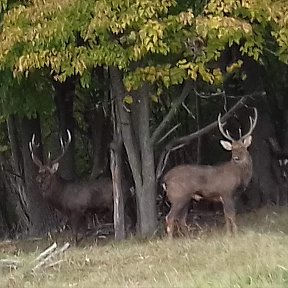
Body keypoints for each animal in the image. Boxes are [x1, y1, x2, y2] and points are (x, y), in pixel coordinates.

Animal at [162, 107, 258, 238]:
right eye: (232, 149)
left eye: (242, 148)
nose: (236, 158)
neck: (239, 176)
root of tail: (165, 179)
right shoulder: (226, 191)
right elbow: (231, 215)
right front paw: (235, 234)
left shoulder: (229, 196)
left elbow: (226, 215)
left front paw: (228, 234)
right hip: (178, 196)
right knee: (170, 217)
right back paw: (170, 240)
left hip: (186, 198)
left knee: (181, 218)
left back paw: (189, 238)